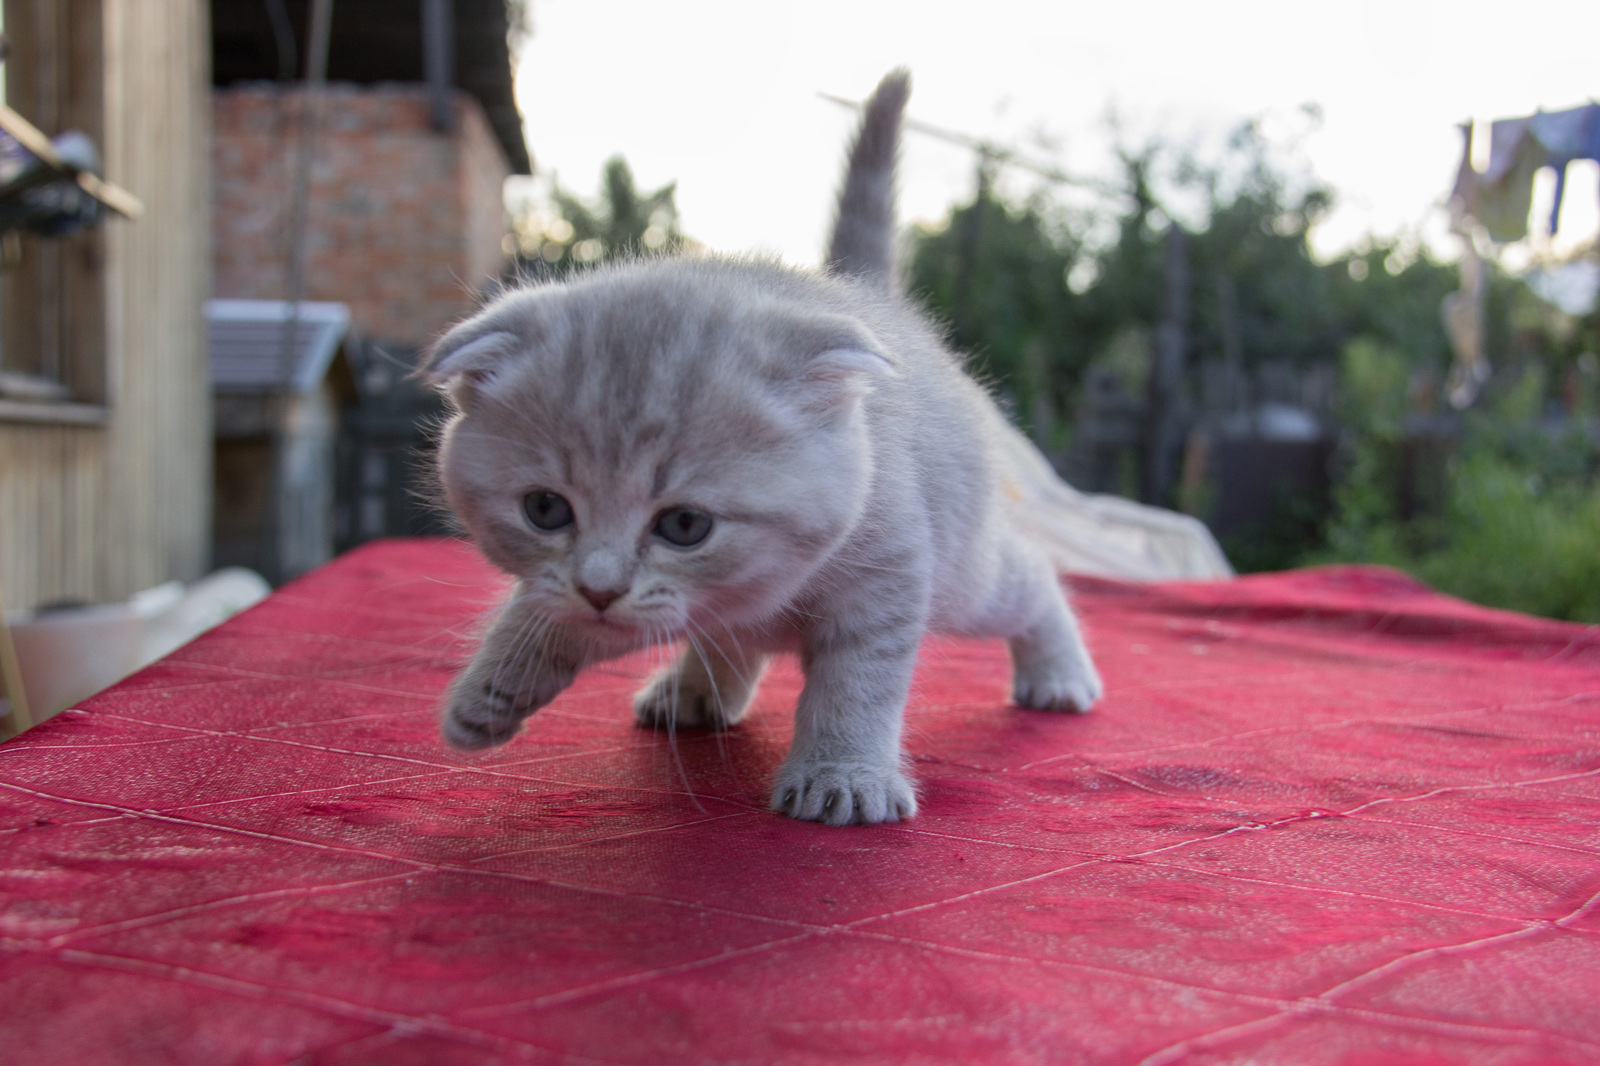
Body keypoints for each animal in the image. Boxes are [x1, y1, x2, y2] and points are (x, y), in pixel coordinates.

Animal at [425, 70, 1100, 825]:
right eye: (545, 510)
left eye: (686, 524)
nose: (599, 587)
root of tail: (864, 294)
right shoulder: (627, 597)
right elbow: (553, 609)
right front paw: (492, 688)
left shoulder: (889, 578)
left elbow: (857, 682)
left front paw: (843, 774)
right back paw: (694, 691)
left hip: (965, 573)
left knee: (1031, 575)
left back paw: (1059, 673)